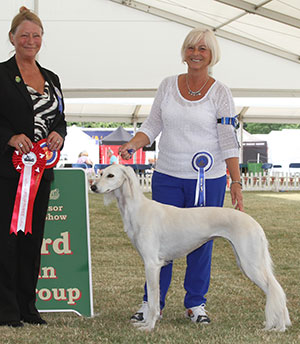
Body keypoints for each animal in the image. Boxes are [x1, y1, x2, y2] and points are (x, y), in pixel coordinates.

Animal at [91, 165, 290, 332]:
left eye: (110, 175)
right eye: (100, 173)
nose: (93, 187)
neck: (137, 209)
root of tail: (254, 223)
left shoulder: (152, 264)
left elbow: (154, 301)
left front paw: (149, 326)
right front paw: (145, 322)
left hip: (251, 264)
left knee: (275, 289)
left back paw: (278, 327)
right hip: (245, 261)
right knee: (276, 290)